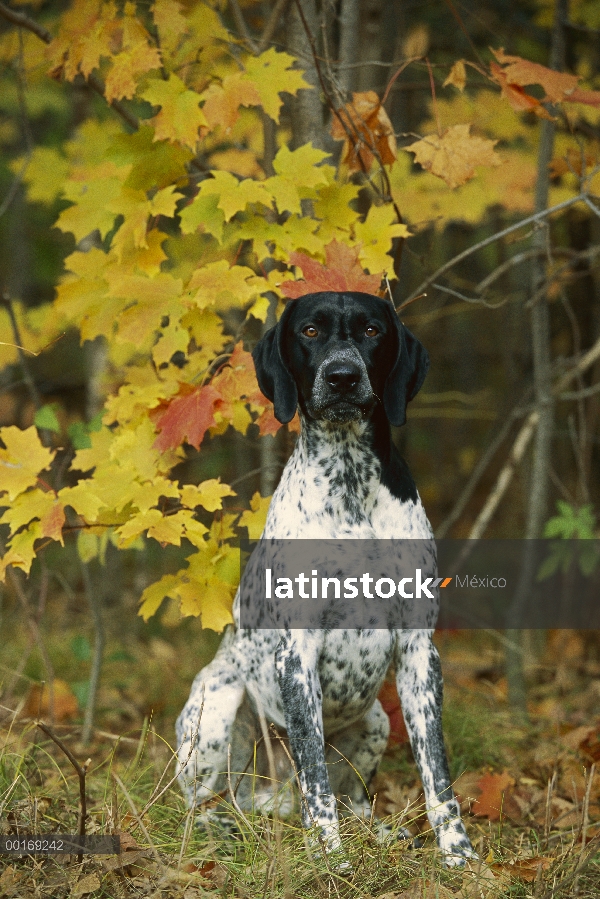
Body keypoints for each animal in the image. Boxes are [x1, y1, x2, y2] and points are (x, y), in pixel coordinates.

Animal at [176, 292, 476, 868]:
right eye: (310, 331)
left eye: (372, 330)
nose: (342, 377)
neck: (350, 480)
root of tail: (274, 796)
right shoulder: (298, 654)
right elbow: (314, 773)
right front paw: (329, 859)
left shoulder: (419, 650)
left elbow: (437, 773)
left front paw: (458, 854)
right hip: (216, 710)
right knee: (205, 804)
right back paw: (225, 827)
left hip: (377, 722)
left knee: (350, 799)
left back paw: (379, 834)